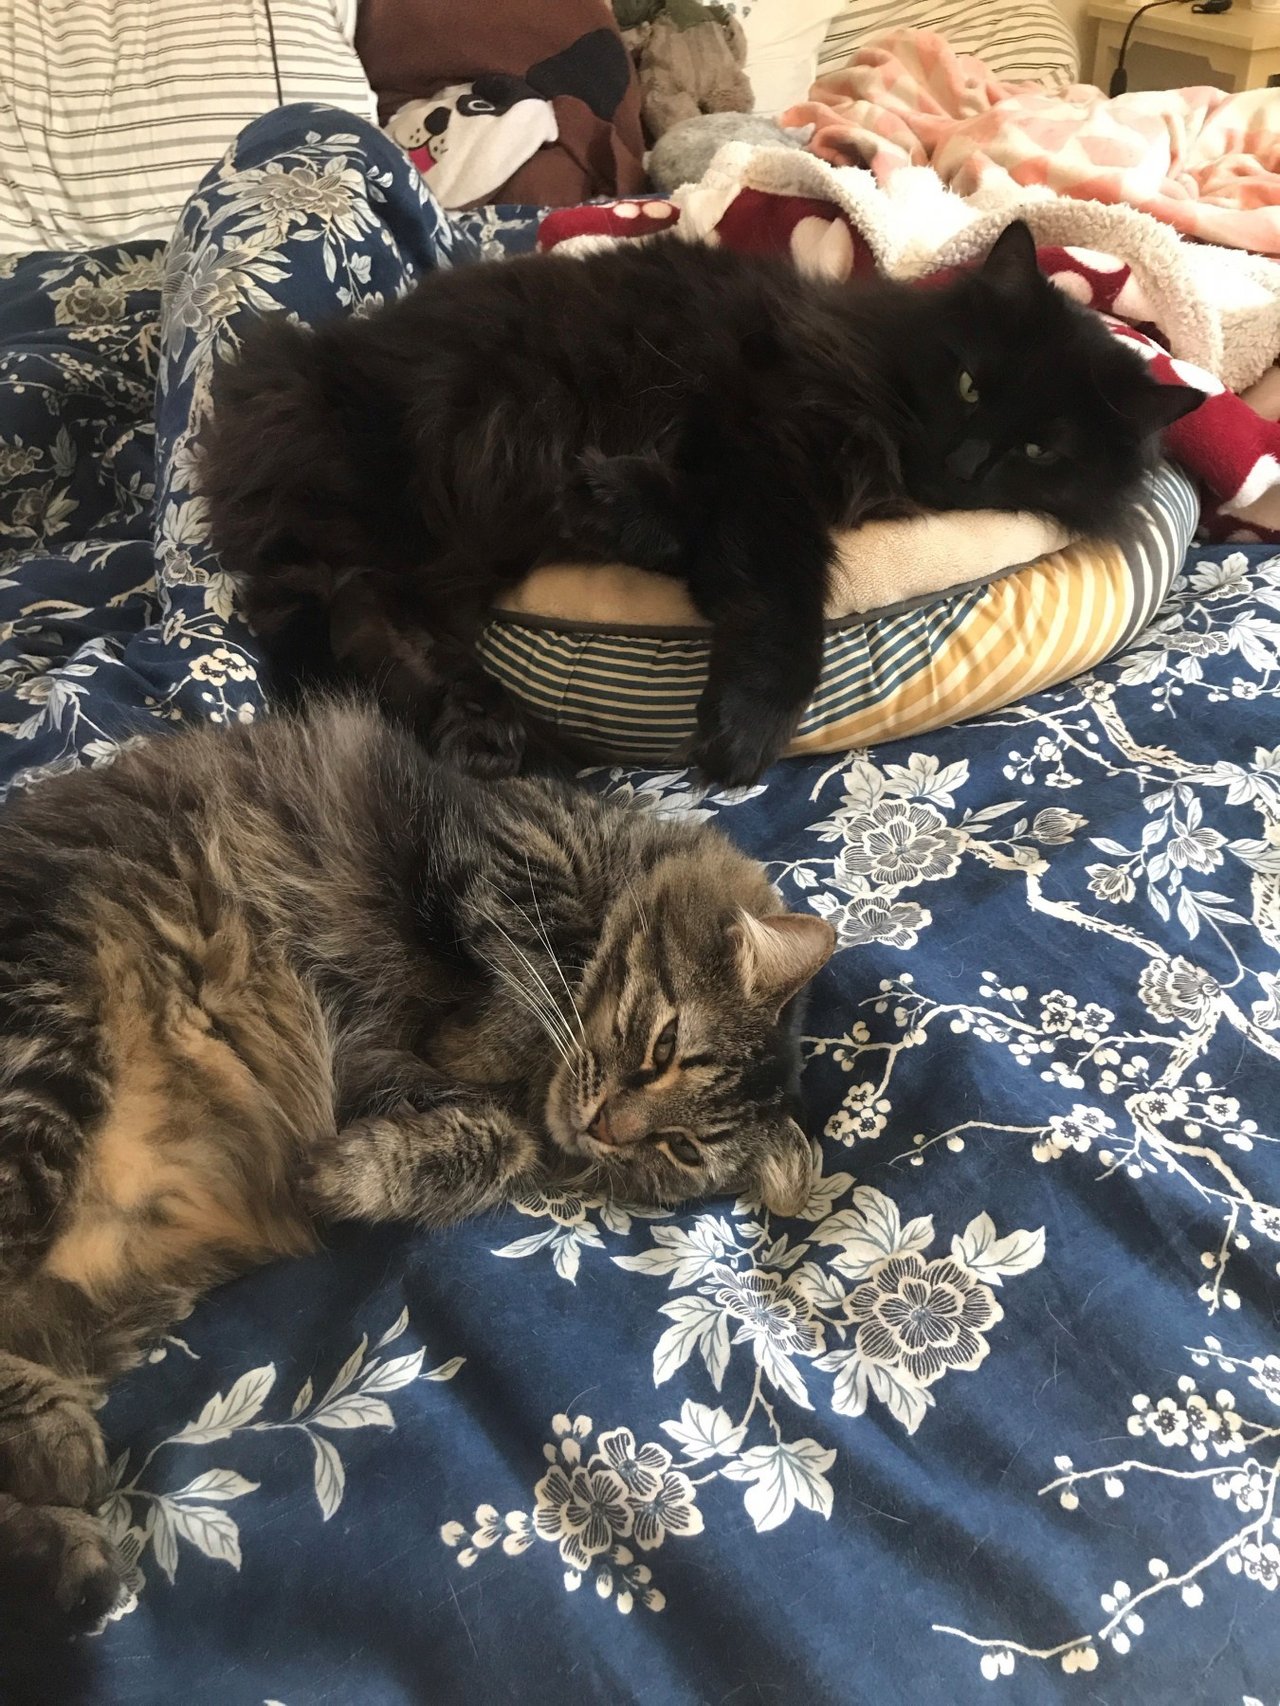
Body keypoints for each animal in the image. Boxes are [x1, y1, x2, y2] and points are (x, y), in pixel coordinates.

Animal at [0, 702, 836, 1624]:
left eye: (680, 1148)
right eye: (662, 1048)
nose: (610, 1126)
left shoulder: (431, 1094)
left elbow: (486, 1142)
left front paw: (346, 1174)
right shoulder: (504, 840)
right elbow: (540, 962)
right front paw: (492, 1040)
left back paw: (68, 1541)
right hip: (47, 1051)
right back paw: (63, 1475)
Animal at [205, 214, 1208, 791]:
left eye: (1040, 449)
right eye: (968, 385)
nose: (964, 464)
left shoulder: (741, 464)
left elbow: (704, 541)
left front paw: (616, 506)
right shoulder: (764, 442)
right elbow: (783, 598)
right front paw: (747, 732)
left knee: (366, 633)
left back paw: (485, 733)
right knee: (330, 628)